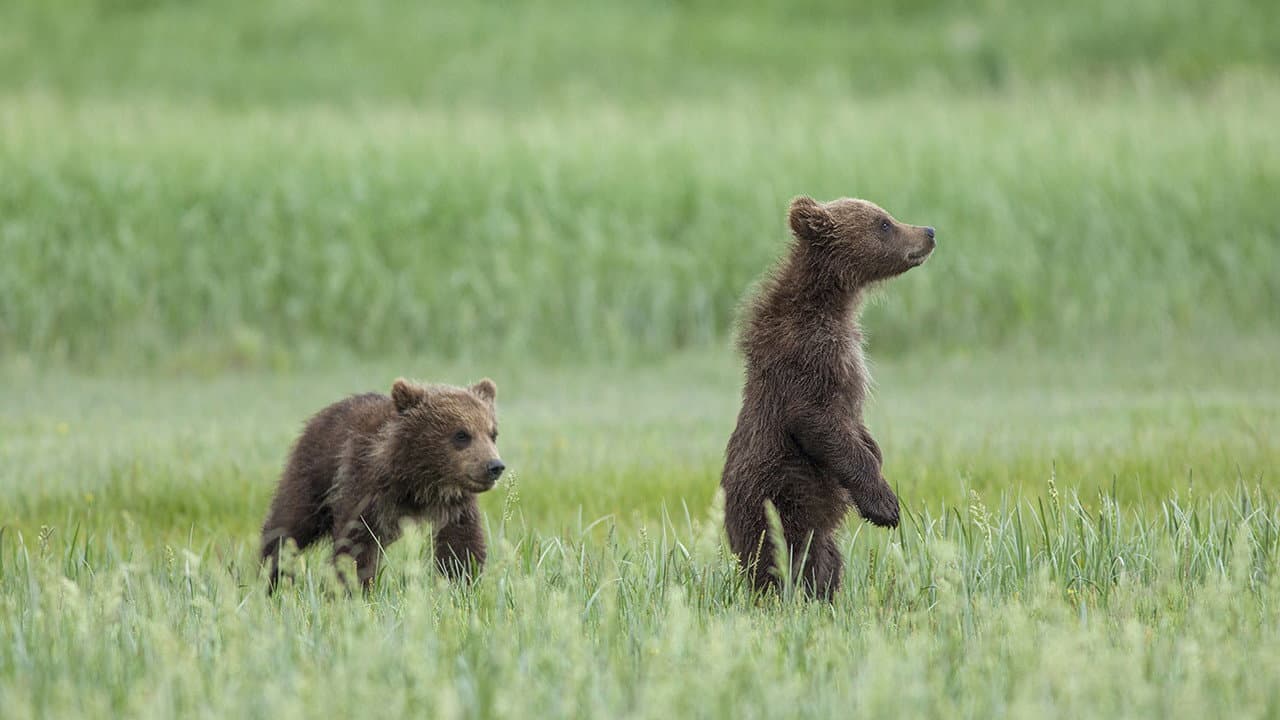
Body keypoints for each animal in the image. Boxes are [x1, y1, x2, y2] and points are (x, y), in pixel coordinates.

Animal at [260, 377, 505, 591]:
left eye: (492, 434)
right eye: (461, 434)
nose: (494, 466)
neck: (418, 484)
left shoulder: (454, 505)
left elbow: (461, 547)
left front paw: (462, 584)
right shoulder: (367, 490)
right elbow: (356, 544)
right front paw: (352, 589)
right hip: (313, 475)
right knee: (288, 526)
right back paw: (269, 578)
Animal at [720, 196, 935, 600]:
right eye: (884, 223)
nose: (928, 231)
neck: (832, 303)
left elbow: (856, 428)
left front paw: (876, 452)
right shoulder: (808, 359)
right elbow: (819, 423)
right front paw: (884, 506)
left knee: (826, 560)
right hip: (781, 503)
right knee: (792, 559)